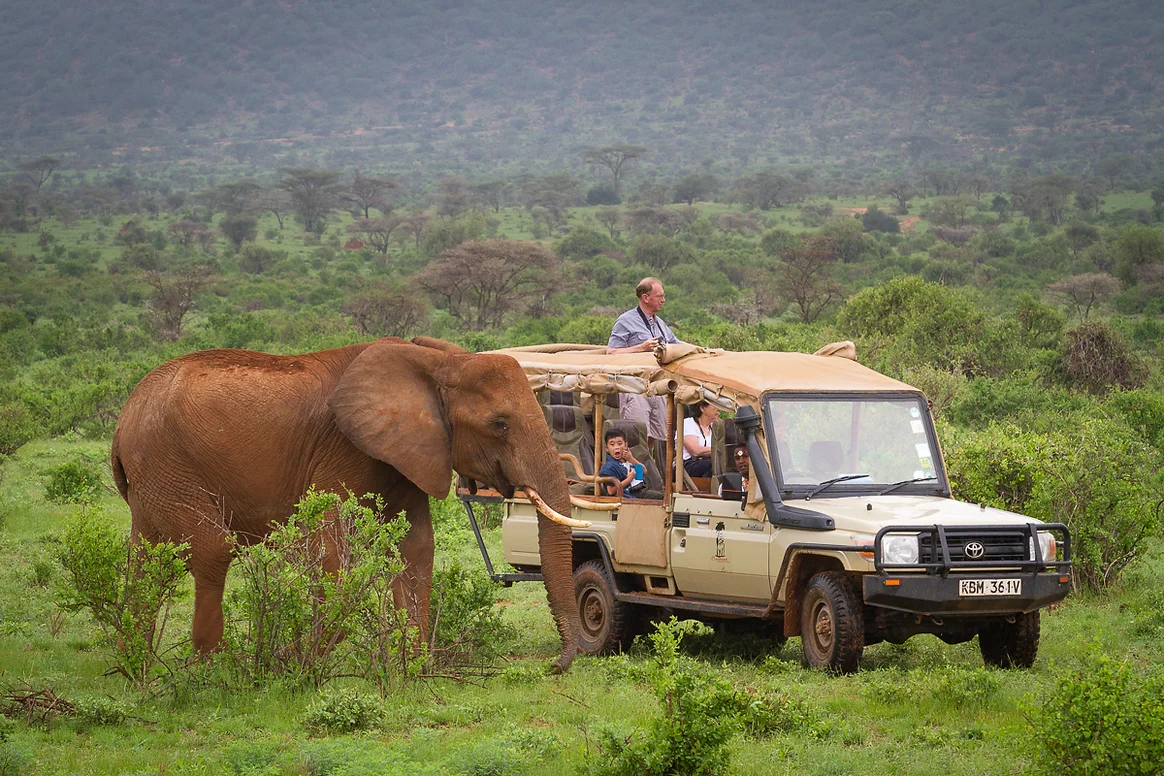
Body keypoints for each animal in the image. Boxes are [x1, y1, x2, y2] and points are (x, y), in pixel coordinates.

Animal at [111, 339, 582, 674]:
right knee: (212, 550)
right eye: (499, 425)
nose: (553, 666)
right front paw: (295, 661)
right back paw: (213, 668)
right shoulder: (345, 450)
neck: (438, 362)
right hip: (168, 461)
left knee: (146, 559)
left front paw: (413, 666)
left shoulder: (407, 453)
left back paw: (136, 663)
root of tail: (125, 415)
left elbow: (416, 547)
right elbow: (331, 546)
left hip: (153, 476)